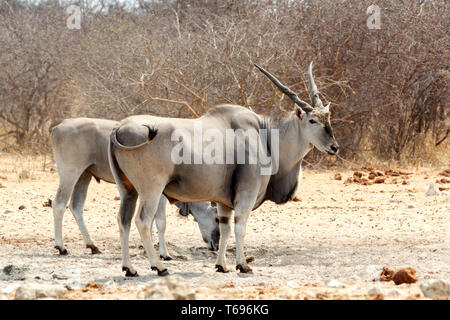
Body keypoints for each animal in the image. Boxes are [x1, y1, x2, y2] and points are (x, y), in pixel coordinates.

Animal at [108, 62, 338, 276]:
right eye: (312, 120)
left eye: (328, 119)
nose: (334, 147)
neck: (265, 135)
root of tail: (119, 128)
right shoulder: (246, 195)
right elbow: (240, 227)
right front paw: (243, 265)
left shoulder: (223, 202)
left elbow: (225, 227)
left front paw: (222, 266)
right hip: (152, 190)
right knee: (143, 221)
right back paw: (159, 266)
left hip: (127, 190)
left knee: (123, 220)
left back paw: (129, 268)